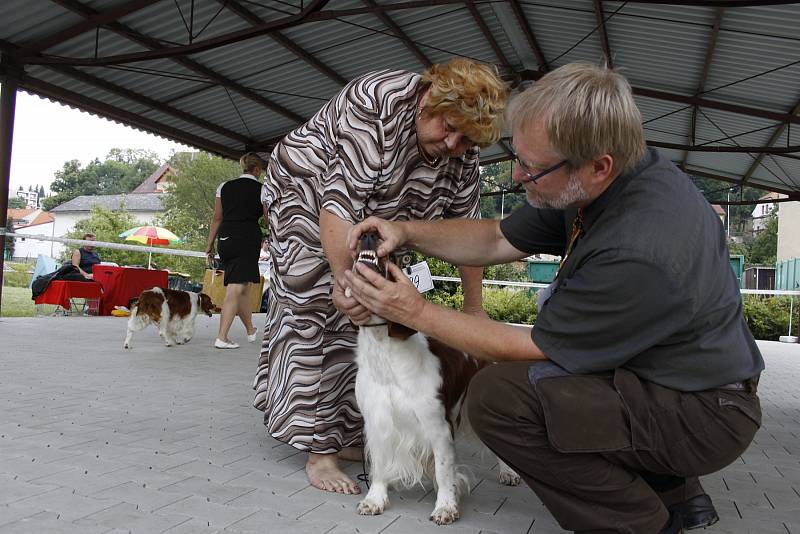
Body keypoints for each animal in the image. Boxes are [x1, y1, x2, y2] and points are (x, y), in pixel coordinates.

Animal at [350, 234, 520, 528]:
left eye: (391, 255)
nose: (368, 234)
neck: (385, 353)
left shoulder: (437, 427)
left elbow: (444, 472)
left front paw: (445, 507)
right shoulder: (376, 420)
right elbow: (379, 465)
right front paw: (374, 499)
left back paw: (508, 472)